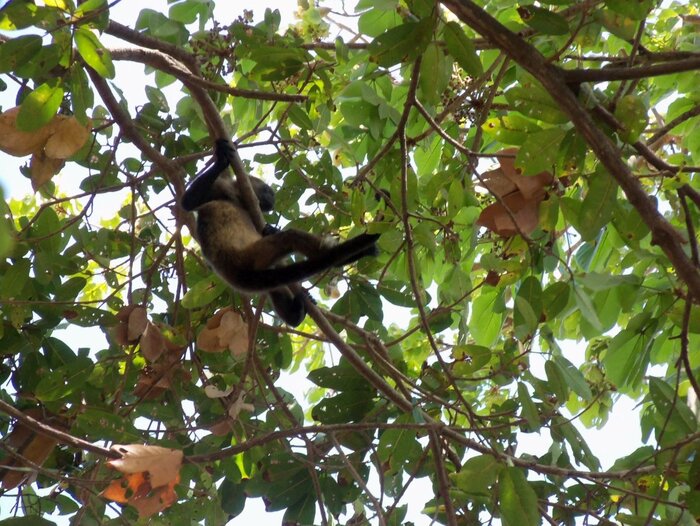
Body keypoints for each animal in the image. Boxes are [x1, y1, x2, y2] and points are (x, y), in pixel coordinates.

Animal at [181, 139, 380, 327]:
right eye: (268, 191)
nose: (272, 200)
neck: (236, 197)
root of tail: (231, 271)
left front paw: (270, 229)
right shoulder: (219, 188)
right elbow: (188, 202)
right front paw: (221, 159)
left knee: (274, 282)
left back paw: (295, 313)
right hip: (251, 256)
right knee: (289, 239)